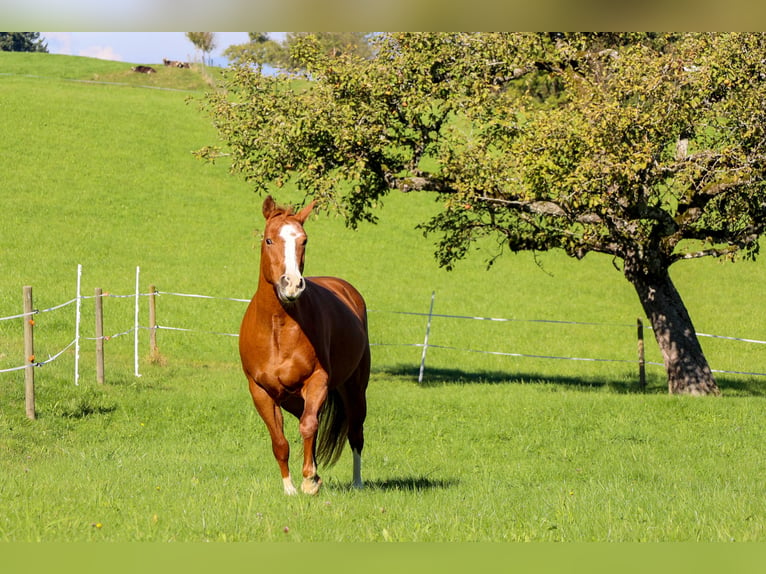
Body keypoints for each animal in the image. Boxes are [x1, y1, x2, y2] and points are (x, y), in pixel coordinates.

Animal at [240, 197, 372, 496]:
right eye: (268, 240)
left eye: (304, 240)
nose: (292, 284)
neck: (278, 327)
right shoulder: (260, 390)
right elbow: (280, 441)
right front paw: (290, 487)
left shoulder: (317, 381)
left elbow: (309, 426)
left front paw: (310, 480)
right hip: (292, 399)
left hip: (354, 389)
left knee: (355, 433)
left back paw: (357, 482)